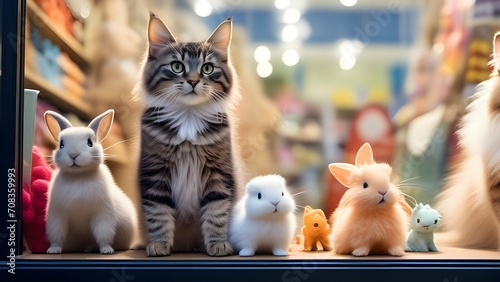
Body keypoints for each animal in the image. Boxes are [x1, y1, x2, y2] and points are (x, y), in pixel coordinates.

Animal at [137, 15, 242, 258]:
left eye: (207, 68)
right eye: (177, 66)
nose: (193, 81)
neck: (188, 116)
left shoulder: (218, 174)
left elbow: (216, 213)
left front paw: (218, 244)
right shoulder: (155, 174)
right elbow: (158, 214)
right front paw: (159, 244)